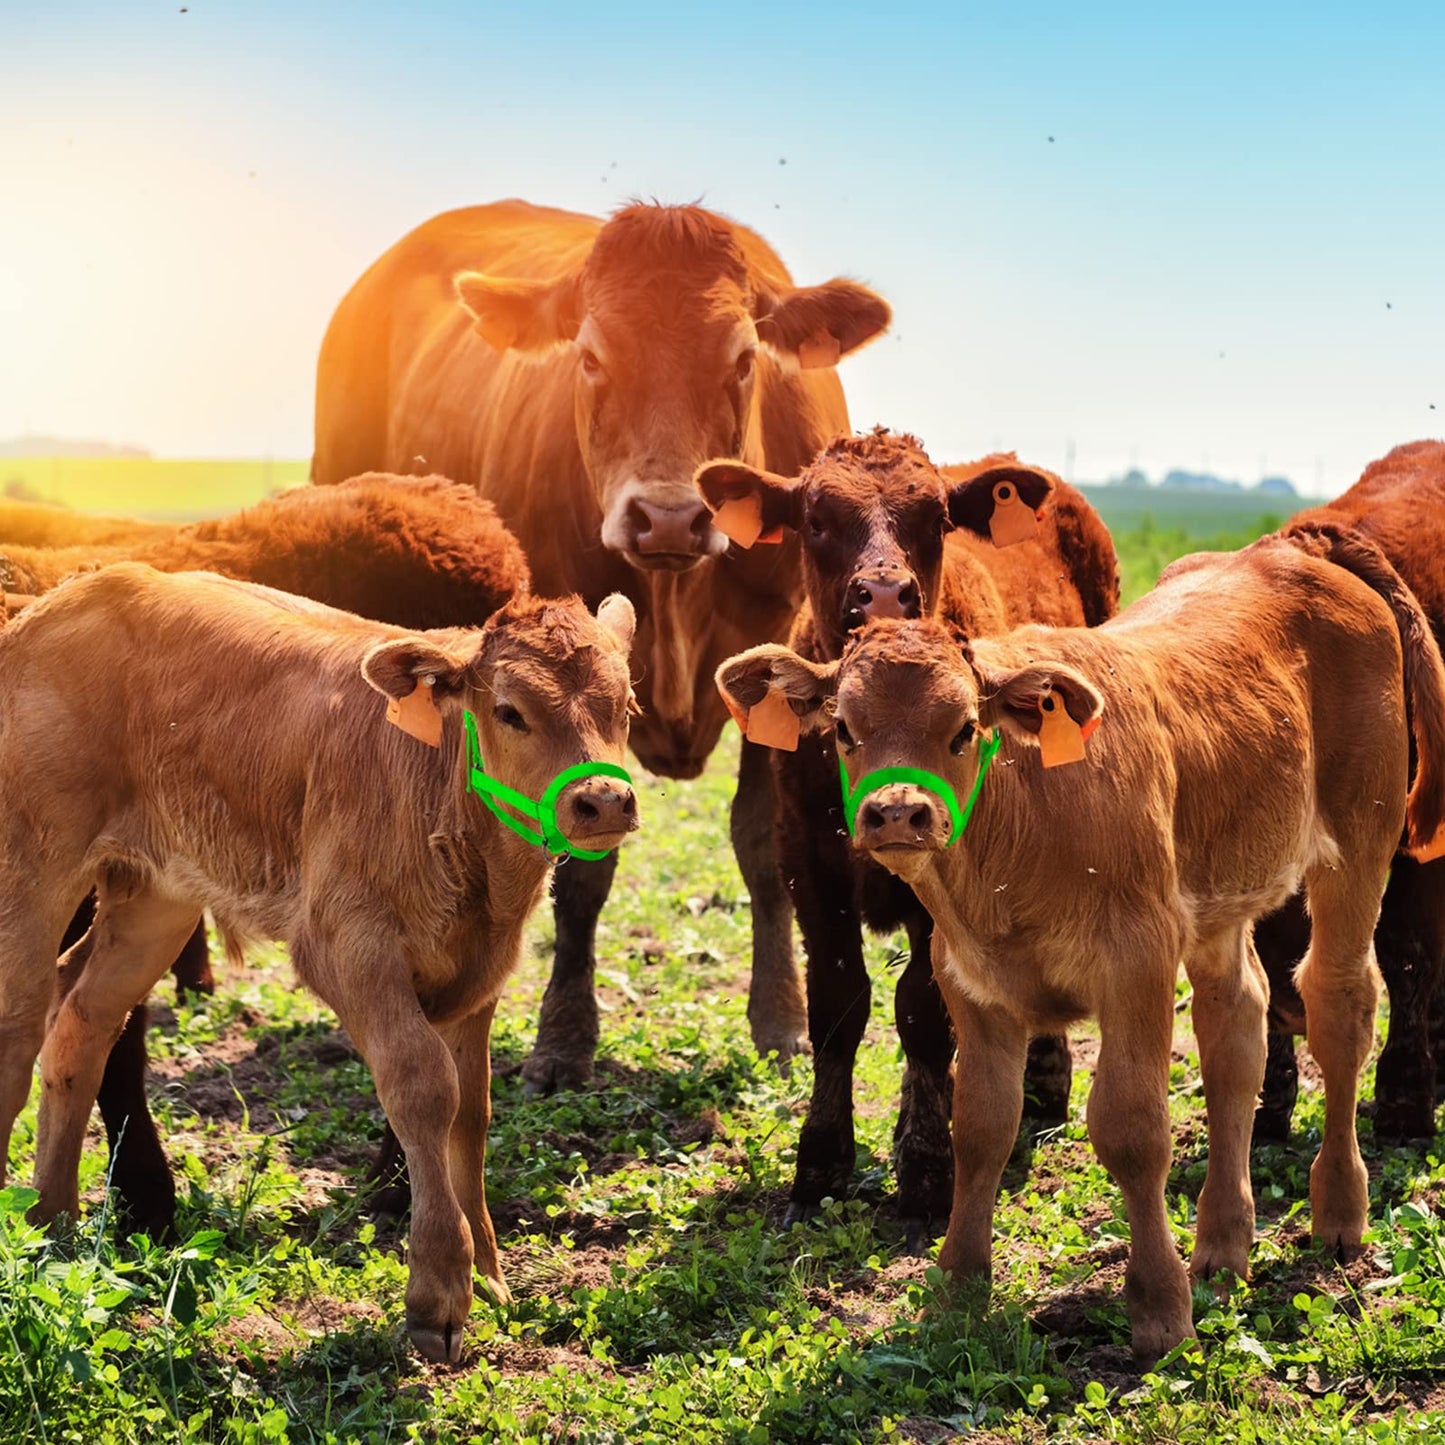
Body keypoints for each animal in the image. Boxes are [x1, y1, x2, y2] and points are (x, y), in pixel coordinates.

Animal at [0, 564, 640, 1365]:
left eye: (625, 705)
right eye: (509, 710)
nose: (604, 800)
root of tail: (70, 593)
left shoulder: (478, 971)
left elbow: (472, 1109)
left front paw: (492, 1278)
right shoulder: (347, 944)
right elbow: (424, 1088)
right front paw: (439, 1293)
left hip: (158, 893)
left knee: (83, 1023)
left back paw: (49, 1227)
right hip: (31, 864)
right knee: (18, 1025)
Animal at [313, 199, 891, 1091]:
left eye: (742, 359)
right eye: (590, 356)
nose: (668, 516)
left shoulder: (771, 660)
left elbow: (760, 843)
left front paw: (780, 1017)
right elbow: (581, 867)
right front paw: (562, 1038)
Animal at [695, 430, 1119, 1244]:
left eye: (935, 519)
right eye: (816, 519)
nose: (885, 595)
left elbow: (923, 1010)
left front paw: (925, 1167)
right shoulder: (807, 862)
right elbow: (838, 1005)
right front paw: (821, 1162)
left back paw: (1043, 1082)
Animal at [716, 525, 1445, 1362]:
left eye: (963, 728)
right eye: (842, 728)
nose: (897, 812)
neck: (1017, 831)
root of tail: (1285, 548)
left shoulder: (1136, 960)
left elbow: (1131, 1128)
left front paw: (1159, 1307)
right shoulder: (970, 980)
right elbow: (981, 1126)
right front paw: (956, 1288)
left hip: (1358, 844)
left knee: (1338, 1004)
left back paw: (1338, 1211)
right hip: (1219, 897)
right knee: (1236, 1031)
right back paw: (1222, 1245)